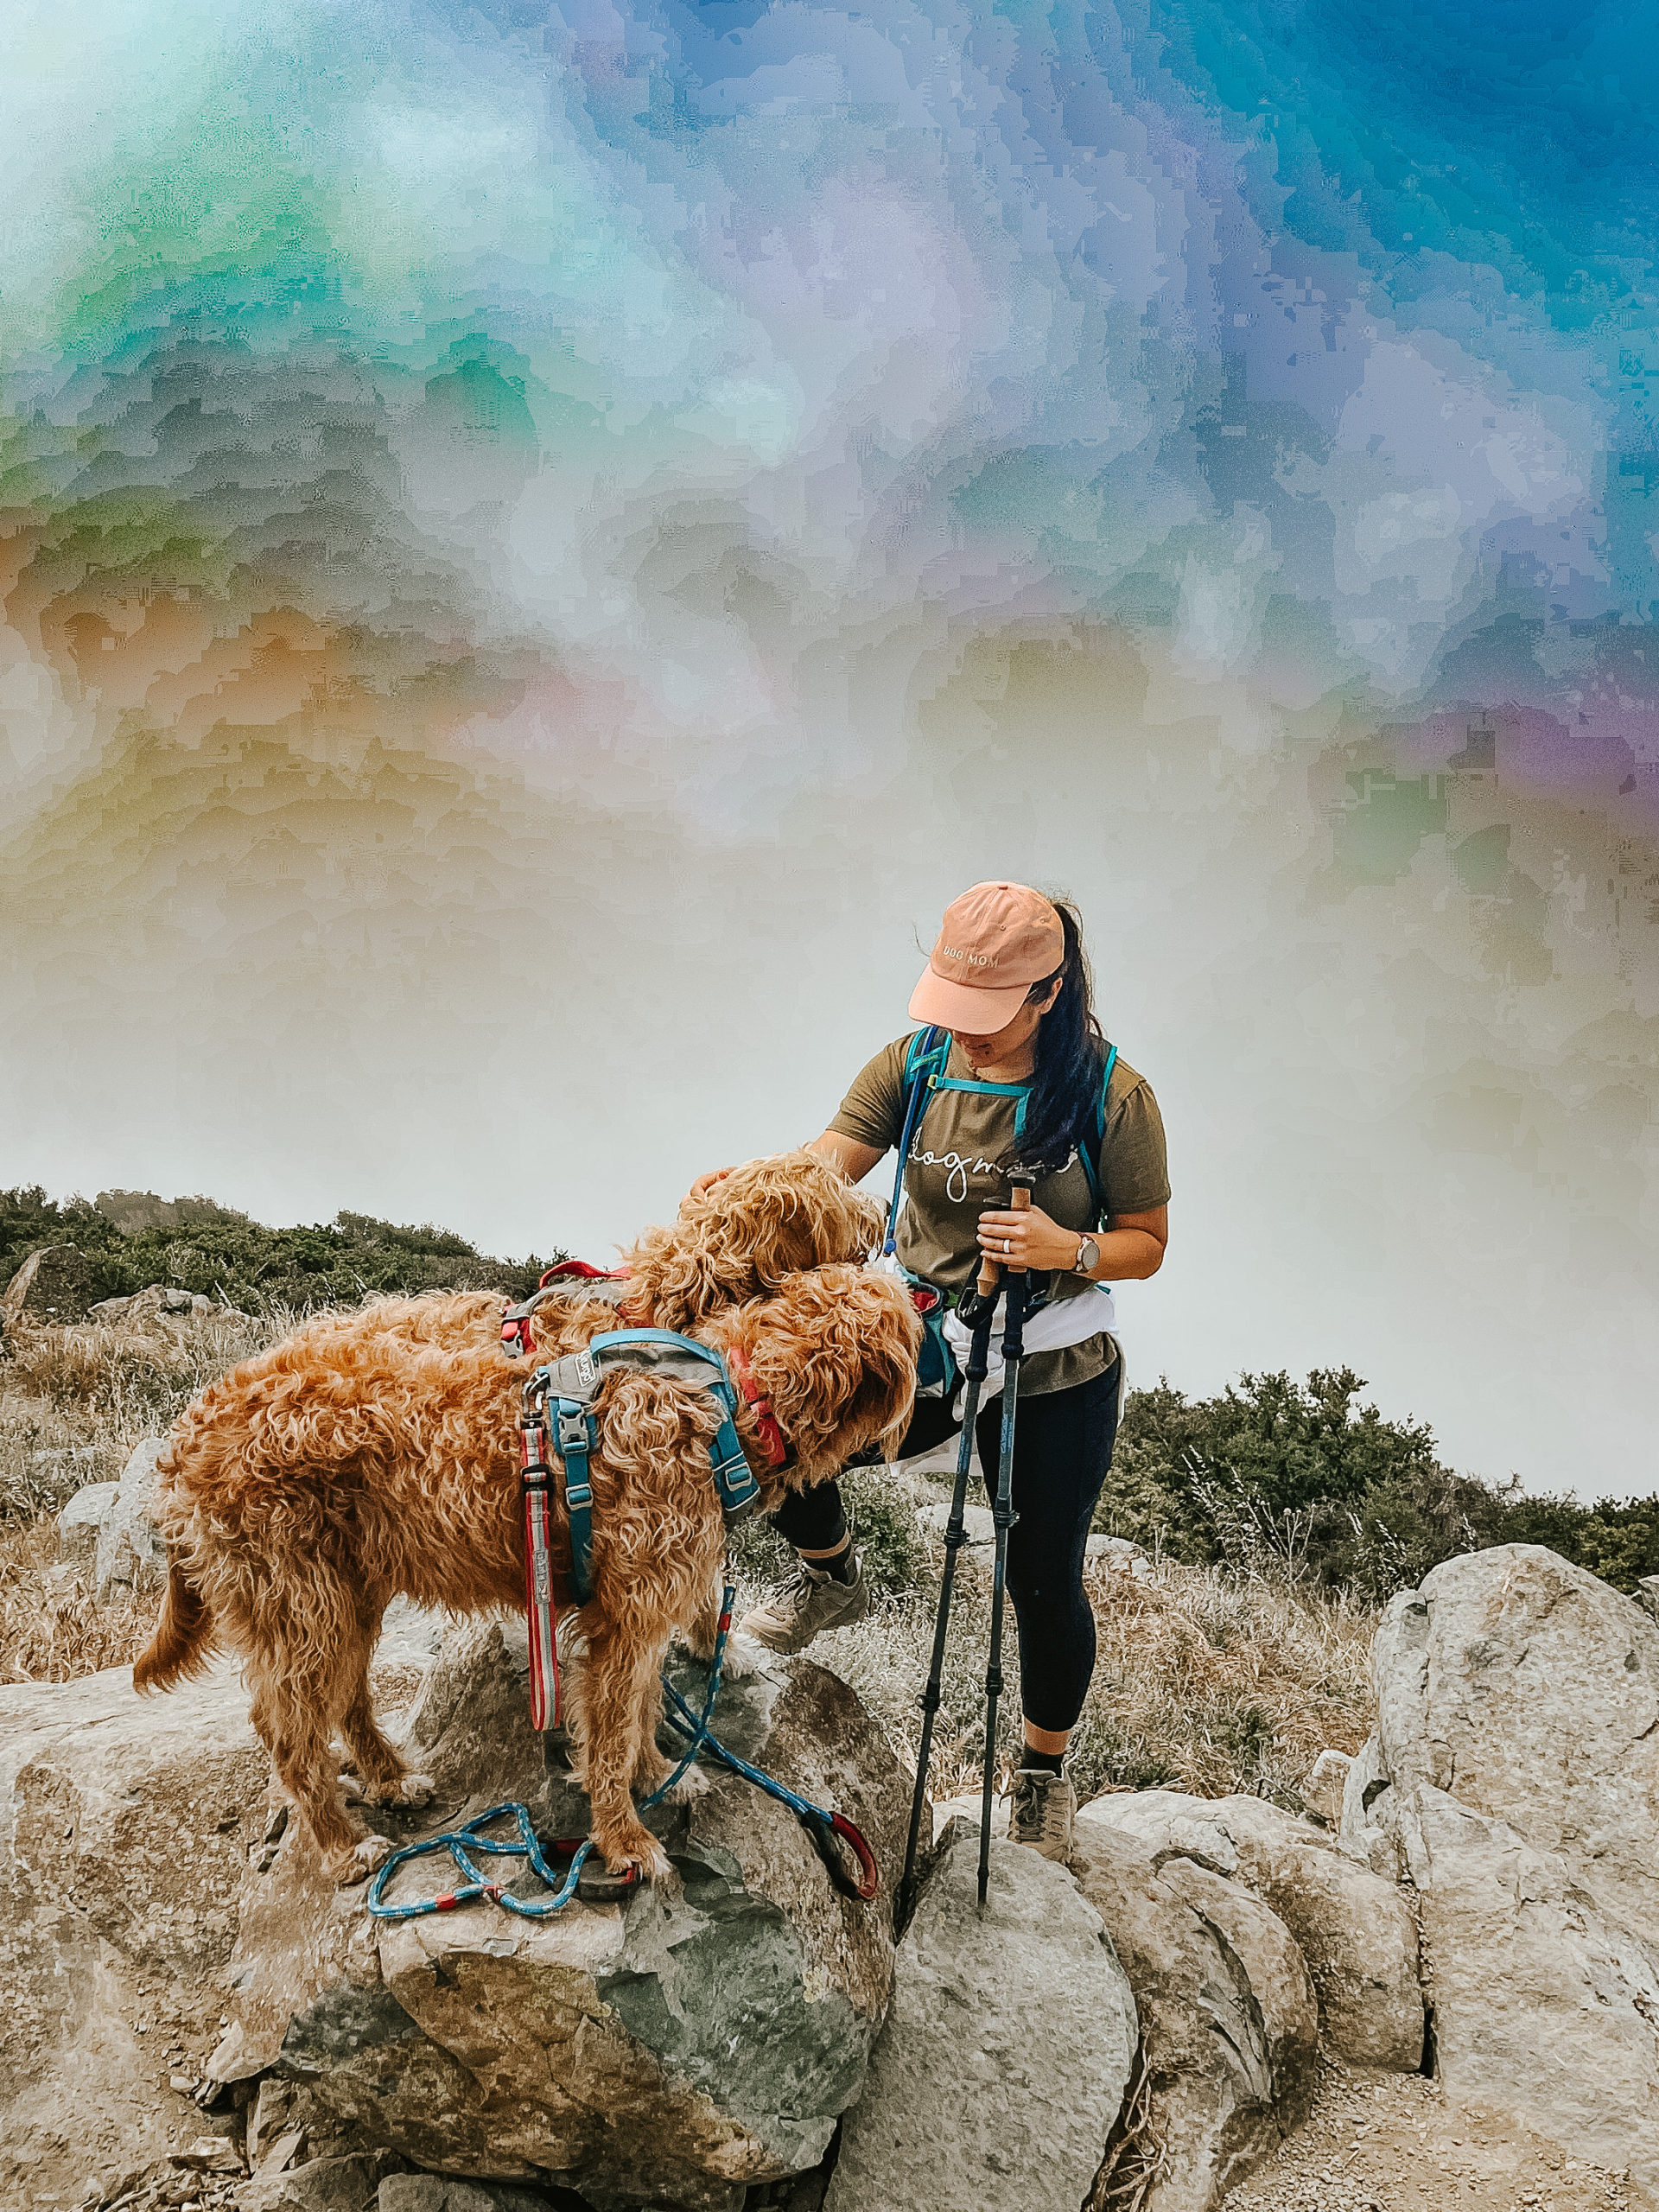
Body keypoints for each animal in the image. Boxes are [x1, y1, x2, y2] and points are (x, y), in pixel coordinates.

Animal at [137, 1265, 925, 1885]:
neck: (729, 1401)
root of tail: (184, 1438)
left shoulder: (637, 1613)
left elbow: (641, 1705)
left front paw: (653, 1773)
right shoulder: (626, 1619)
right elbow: (611, 1730)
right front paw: (624, 1836)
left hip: (348, 1594)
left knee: (347, 1698)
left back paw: (390, 1779)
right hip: (300, 1603)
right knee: (291, 1734)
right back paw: (341, 1846)